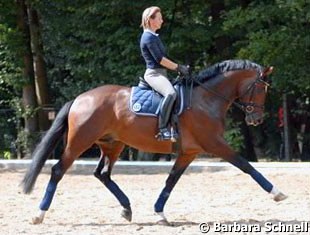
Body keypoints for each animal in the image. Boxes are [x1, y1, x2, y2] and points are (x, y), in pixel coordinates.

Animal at [21, 59, 288, 224]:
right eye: (260, 89)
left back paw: (127, 208)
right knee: (58, 170)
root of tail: (79, 99)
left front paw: (160, 213)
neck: (206, 99)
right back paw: (39, 214)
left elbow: (171, 180)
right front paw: (277, 193)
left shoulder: (189, 152)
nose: (256, 119)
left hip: (113, 144)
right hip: (80, 141)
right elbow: (246, 166)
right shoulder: (214, 144)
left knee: (103, 174)